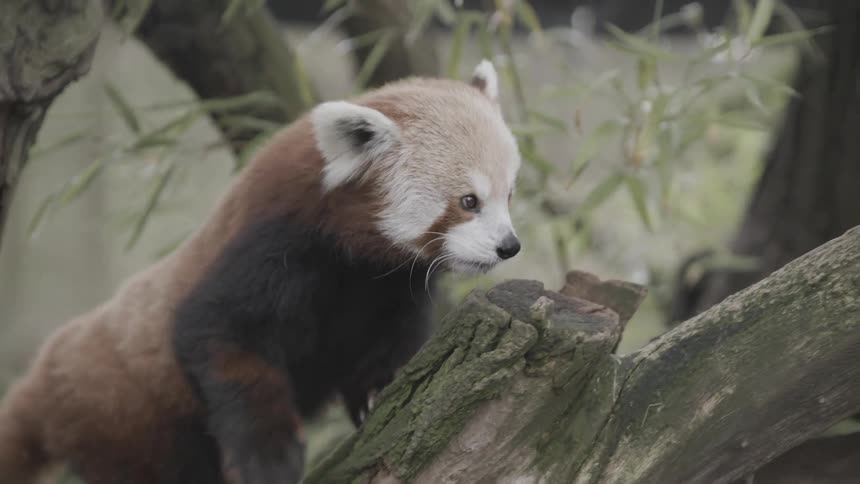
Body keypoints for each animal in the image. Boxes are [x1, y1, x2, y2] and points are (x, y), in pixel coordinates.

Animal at [0, 60, 522, 484]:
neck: (353, 259)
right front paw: (270, 457)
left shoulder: (391, 286)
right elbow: (221, 337)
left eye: (508, 194)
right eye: (468, 201)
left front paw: (380, 389)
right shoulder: (271, 248)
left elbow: (391, 342)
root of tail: (45, 371)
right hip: (128, 421)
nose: (509, 246)